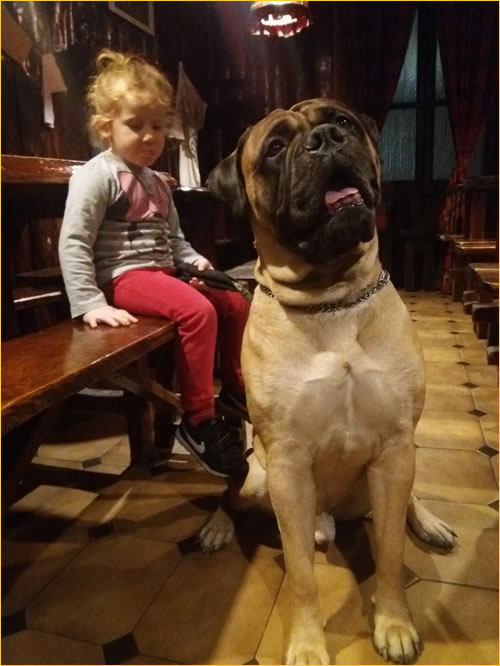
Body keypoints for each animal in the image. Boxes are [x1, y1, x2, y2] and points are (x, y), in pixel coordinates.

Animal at [201, 100, 456, 664]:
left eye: (342, 121)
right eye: (275, 147)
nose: (325, 140)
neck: (330, 298)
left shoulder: (394, 449)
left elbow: (389, 553)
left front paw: (394, 623)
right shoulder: (288, 465)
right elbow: (301, 575)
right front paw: (307, 644)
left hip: (398, 466)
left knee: (407, 501)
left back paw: (428, 522)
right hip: (259, 479)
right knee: (234, 489)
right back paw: (218, 524)